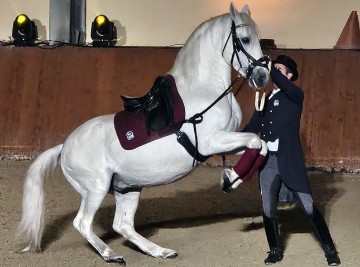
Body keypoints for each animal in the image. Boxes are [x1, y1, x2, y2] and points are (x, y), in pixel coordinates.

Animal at [16, 2, 270, 266]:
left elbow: (261, 145)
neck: (204, 90)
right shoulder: (211, 143)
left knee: (123, 225)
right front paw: (231, 178)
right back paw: (111, 254)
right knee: (83, 223)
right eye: (245, 39)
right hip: (96, 188)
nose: (262, 77)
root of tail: (64, 147)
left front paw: (231, 178)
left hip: (127, 188)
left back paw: (160, 251)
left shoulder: (227, 141)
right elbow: (256, 141)